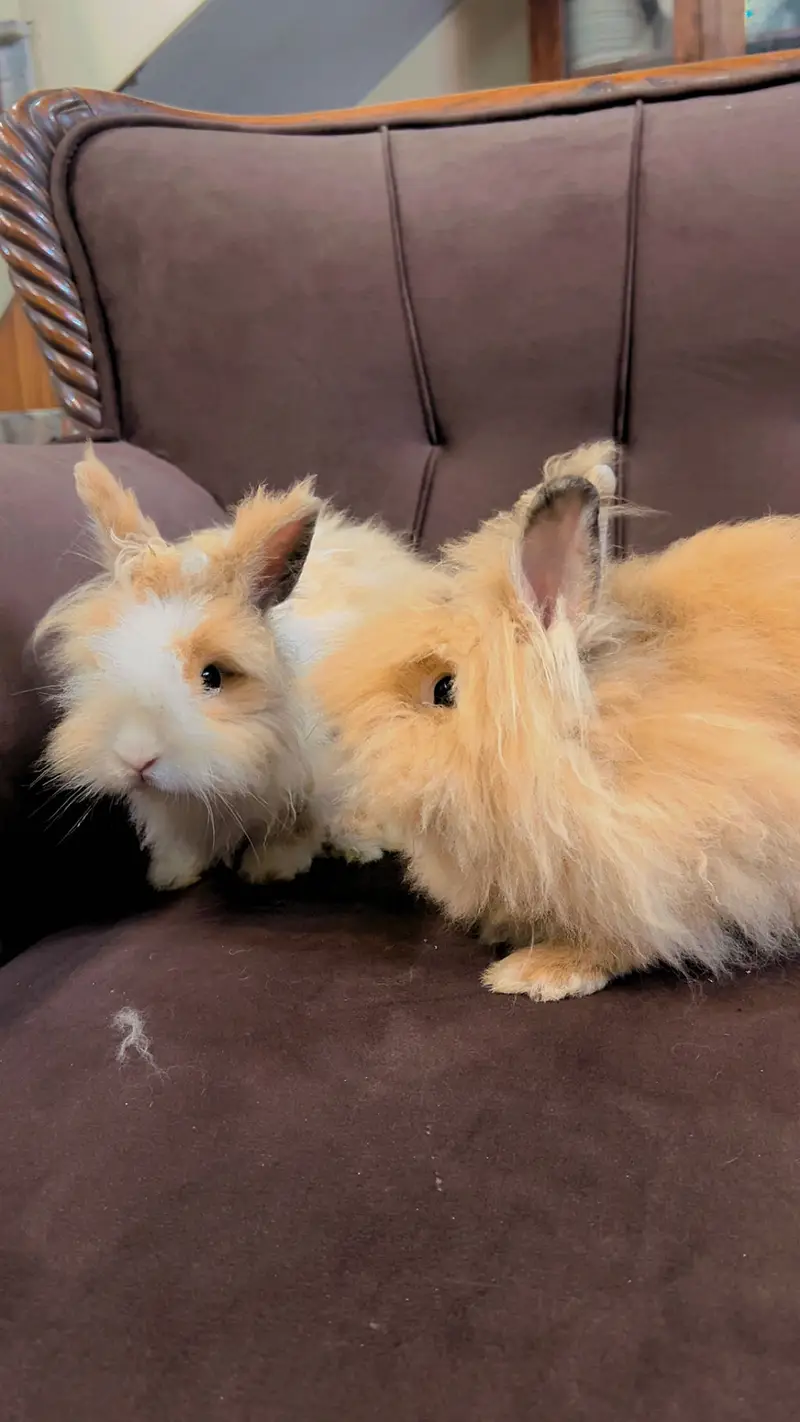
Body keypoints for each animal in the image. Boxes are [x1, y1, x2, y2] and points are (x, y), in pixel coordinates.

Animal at [34, 447, 423, 891]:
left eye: (213, 676)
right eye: (105, 662)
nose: (136, 759)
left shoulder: (312, 776)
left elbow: (296, 828)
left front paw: (271, 868)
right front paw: (171, 875)